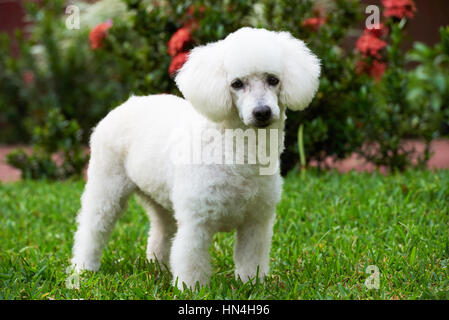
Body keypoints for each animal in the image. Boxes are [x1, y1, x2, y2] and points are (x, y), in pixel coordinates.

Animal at [71, 27, 318, 290]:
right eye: (236, 84)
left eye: (273, 80)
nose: (262, 112)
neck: (235, 152)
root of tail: (127, 103)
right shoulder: (196, 221)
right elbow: (191, 260)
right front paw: (190, 289)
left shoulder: (256, 221)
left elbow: (251, 260)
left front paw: (251, 285)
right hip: (107, 184)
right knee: (92, 229)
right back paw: (82, 271)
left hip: (159, 198)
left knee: (161, 230)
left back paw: (158, 266)